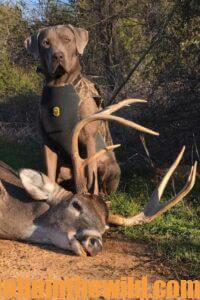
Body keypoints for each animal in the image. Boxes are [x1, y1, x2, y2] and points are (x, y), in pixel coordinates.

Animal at [24, 24, 119, 196]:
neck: (59, 84)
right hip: (64, 169)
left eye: (67, 39)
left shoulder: (88, 138)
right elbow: (49, 173)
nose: (58, 56)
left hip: (110, 167)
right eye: (46, 43)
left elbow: (90, 175)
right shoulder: (48, 142)